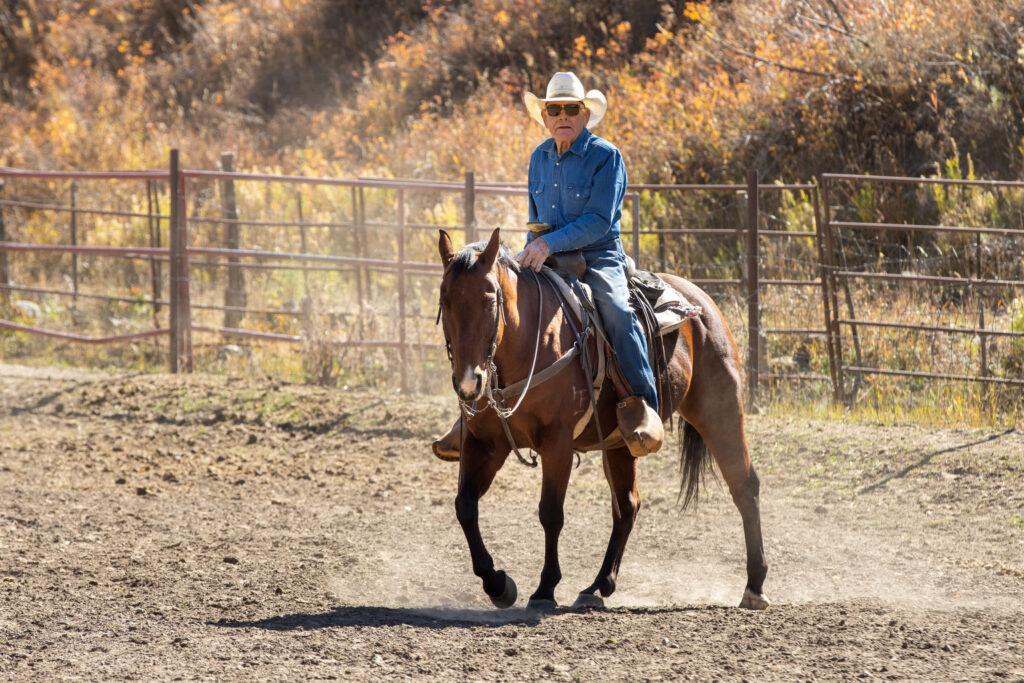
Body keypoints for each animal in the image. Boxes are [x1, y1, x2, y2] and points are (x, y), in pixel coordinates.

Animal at [434, 227, 770, 610]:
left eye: (490, 298)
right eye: (445, 300)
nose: (469, 382)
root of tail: (701, 302)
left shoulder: (557, 443)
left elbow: (550, 512)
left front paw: (545, 589)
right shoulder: (484, 442)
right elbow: (465, 506)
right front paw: (498, 584)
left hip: (720, 411)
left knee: (744, 485)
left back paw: (755, 586)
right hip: (620, 443)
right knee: (627, 505)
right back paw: (598, 586)